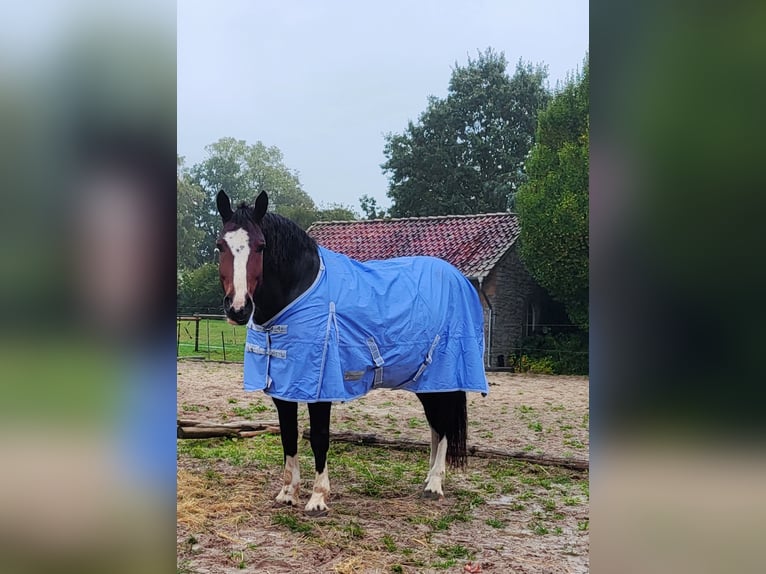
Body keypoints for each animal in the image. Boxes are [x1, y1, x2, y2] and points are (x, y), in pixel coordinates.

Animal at [218, 190, 492, 516]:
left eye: (260, 246)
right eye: (220, 245)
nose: (238, 308)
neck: (300, 291)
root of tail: (458, 278)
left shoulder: (321, 387)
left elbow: (319, 438)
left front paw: (318, 498)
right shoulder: (284, 387)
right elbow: (289, 436)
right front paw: (288, 493)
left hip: (445, 376)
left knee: (445, 425)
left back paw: (434, 485)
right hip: (426, 382)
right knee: (436, 427)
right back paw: (428, 480)